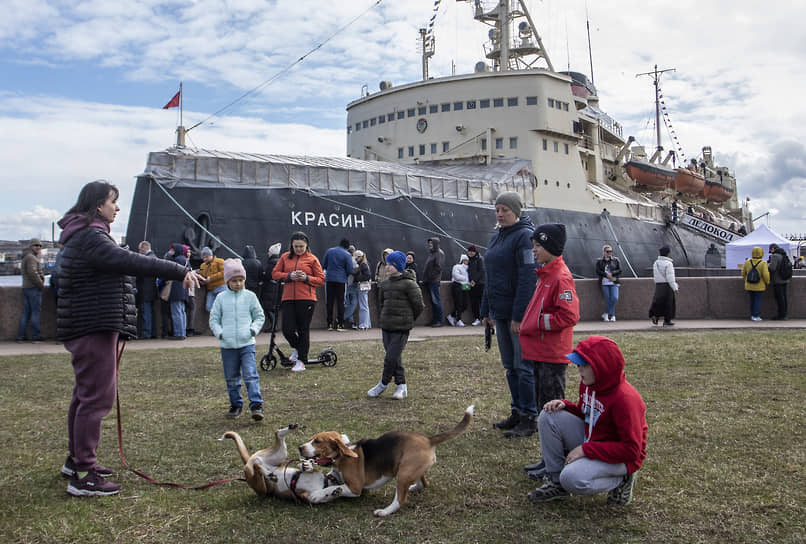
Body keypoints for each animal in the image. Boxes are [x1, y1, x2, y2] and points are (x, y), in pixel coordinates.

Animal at [298, 406, 474, 516]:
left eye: (317, 441)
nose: (300, 447)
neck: (341, 457)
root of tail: (428, 440)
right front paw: (307, 467)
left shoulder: (355, 488)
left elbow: (332, 488)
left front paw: (318, 495)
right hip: (411, 471)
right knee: (423, 483)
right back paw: (411, 488)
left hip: (403, 473)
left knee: (400, 500)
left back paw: (384, 511)